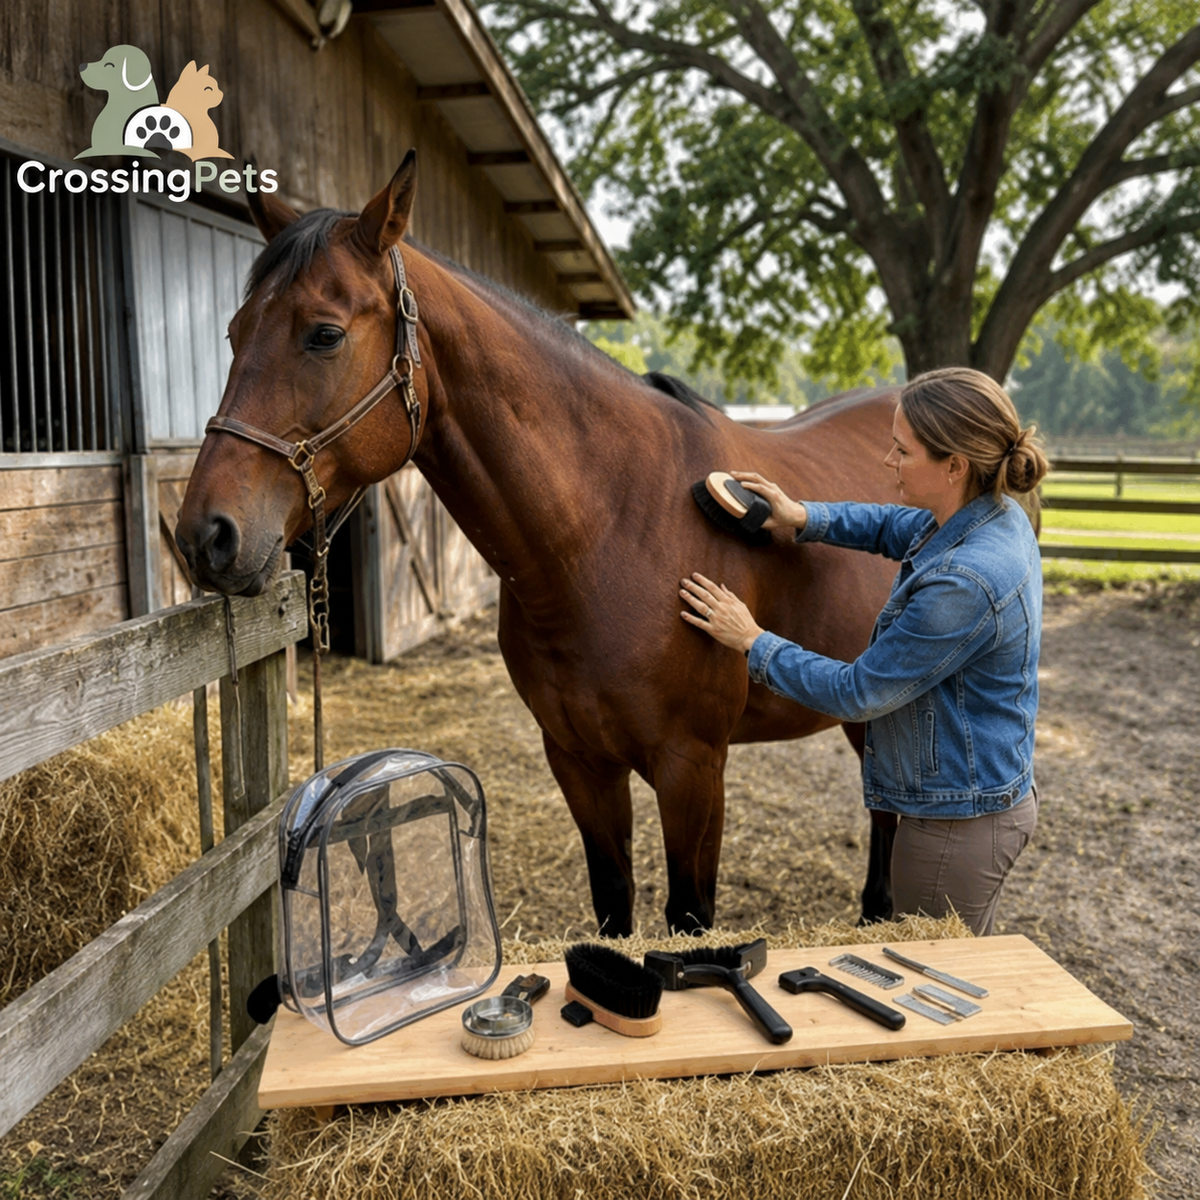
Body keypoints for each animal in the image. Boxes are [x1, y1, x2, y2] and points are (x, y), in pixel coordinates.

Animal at [175, 153, 904, 937]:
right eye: (234, 332)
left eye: (324, 335)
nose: (204, 535)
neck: (611, 534)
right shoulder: (579, 762)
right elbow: (614, 902)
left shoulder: (694, 769)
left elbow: (689, 914)